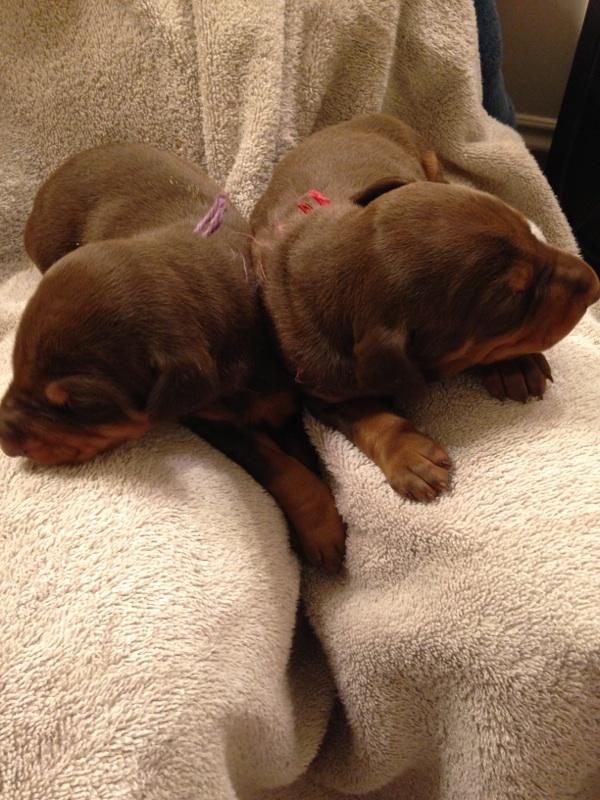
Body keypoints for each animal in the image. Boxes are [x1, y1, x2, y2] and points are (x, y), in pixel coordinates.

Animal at [0, 142, 344, 568]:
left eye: (80, 405)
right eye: (15, 364)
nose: (3, 439)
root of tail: (53, 179)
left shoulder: (283, 405)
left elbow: (301, 460)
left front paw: (318, 529)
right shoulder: (211, 420)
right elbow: (279, 467)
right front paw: (319, 530)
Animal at [252, 112, 600, 500]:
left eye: (530, 234)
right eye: (513, 300)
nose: (594, 284)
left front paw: (514, 365)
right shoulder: (320, 389)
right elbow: (369, 416)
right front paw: (410, 455)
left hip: (430, 163)